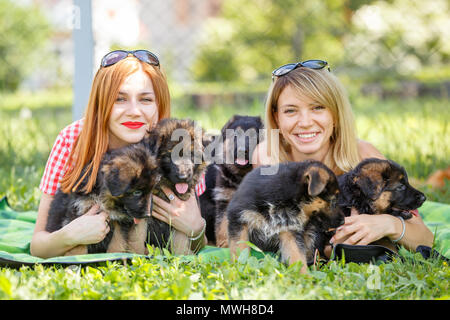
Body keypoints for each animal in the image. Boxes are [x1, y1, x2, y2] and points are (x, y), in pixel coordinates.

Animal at [198, 114, 264, 245]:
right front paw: (224, 244)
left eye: (253, 136)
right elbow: (223, 225)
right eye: (235, 136)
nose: (242, 150)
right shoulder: (225, 199)